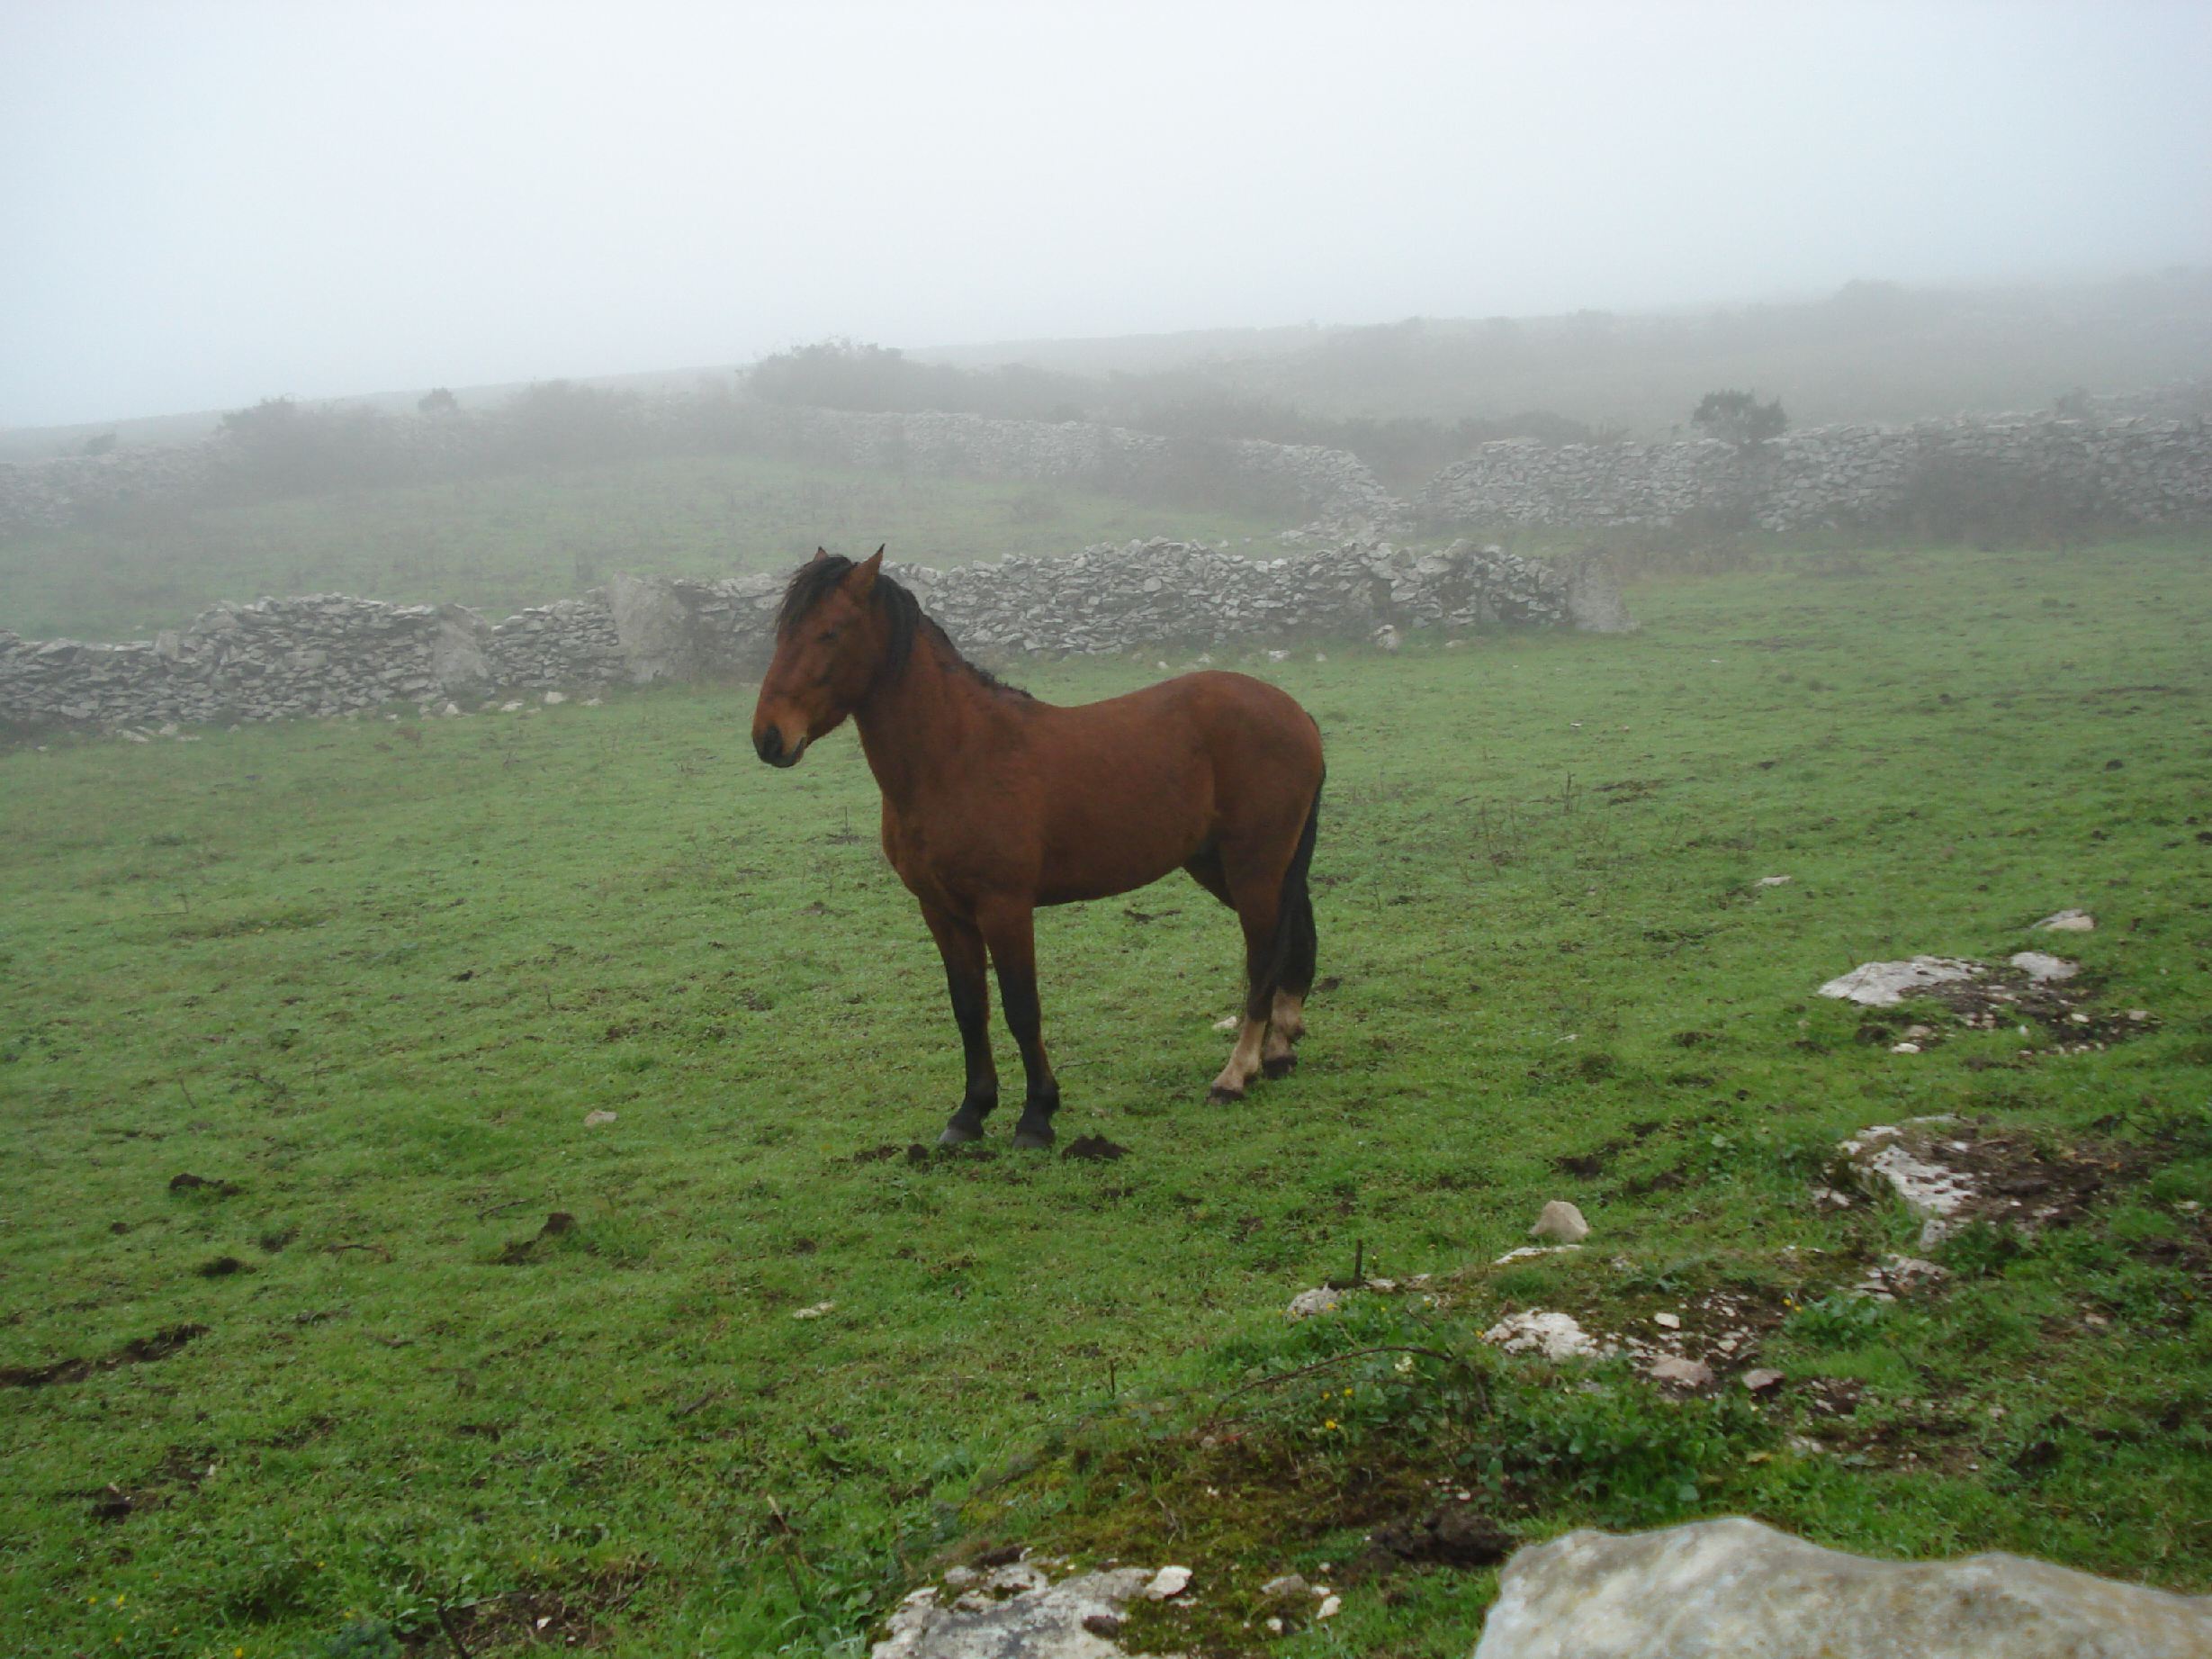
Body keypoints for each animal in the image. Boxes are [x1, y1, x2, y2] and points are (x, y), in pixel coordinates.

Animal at [751, 547, 1325, 1149]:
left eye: (830, 632)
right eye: (783, 634)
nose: (769, 737)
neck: (956, 757)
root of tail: (1295, 713)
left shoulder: (1004, 907)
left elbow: (1021, 1008)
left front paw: (1036, 1116)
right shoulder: (942, 912)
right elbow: (969, 1010)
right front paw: (970, 1113)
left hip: (1253, 867)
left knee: (1263, 959)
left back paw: (1235, 1075)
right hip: (1223, 867)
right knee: (1294, 938)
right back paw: (1279, 1052)